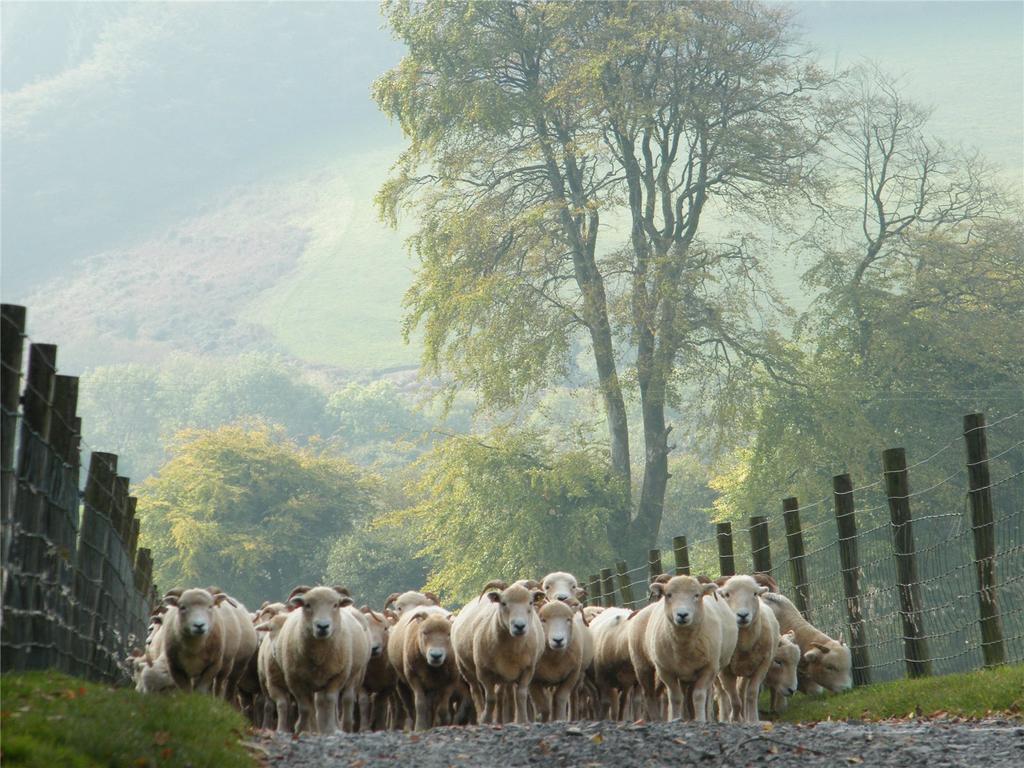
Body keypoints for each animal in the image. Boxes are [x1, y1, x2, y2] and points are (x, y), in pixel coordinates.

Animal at [274, 585, 366, 737]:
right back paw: (314, 728)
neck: (319, 655)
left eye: (335, 605)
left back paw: (341, 727)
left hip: (352, 677)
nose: (322, 626)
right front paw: (302, 729)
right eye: (307, 605)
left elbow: (329, 701)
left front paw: (330, 730)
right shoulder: (295, 680)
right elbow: (305, 707)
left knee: (344, 700)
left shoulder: (337, 677)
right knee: (313, 705)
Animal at [626, 573, 733, 724]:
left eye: (697, 595)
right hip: (642, 665)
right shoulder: (665, 670)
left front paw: (700, 719)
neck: (684, 645)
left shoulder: (709, 668)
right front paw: (675, 718)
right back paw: (657, 719)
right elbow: (675, 697)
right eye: (669, 595)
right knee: (649, 695)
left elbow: (699, 695)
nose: (682, 615)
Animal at [716, 573, 778, 724]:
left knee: (742, 691)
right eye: (727, 594)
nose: (743, 615)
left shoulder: (762, 665)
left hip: (746, 669)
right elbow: (733, 699)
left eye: (754, 593)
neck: (743, 642)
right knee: (724, 694)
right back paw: (726, 718)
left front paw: (753, 720)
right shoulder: (724, 671)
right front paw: (734, 719)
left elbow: (751, 694)